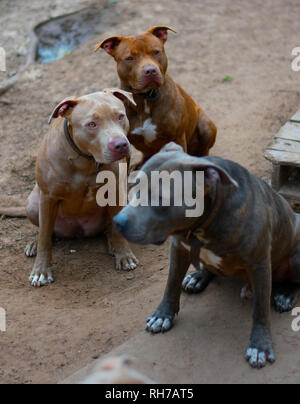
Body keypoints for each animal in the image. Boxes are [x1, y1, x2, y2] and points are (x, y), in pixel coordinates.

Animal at [23, 90, 138, 288]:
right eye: (92, 124)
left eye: (120, 116)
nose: (121, 145)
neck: (85, 159)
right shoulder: (48, 197)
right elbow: (44, 237)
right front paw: (41, 272)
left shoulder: (116, 191)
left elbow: (117, 229)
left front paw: (124, 256)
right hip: (32, 204)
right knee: (45, 230)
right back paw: (33, 243)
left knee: (111, 226)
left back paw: (112, 243)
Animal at [95, 26, 217, 164]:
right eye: (130, 58)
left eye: (156, 52)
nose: (150, 70)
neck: (146, 98)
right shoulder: (123, 143)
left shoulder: (177, 138)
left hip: (205, 125)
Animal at [114, 144, 300, 368]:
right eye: (133, 187)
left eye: (160, 198)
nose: (117, 221)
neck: (203, 222)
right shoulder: (179, 247)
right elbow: (171, 284)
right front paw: (162, 315)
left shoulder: (260, 263)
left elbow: (261, 310)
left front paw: (260, 346)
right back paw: (198, 277)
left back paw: (285, 294)